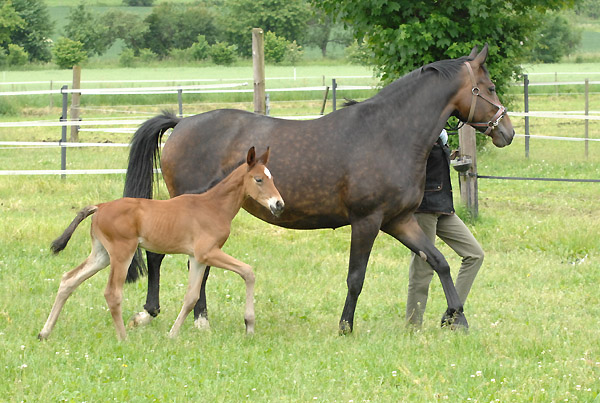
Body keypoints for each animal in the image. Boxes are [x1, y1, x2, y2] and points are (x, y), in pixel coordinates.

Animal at [39, 147, 284, 342]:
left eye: (272, 177)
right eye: (259, 179)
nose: (279, 204)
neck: (213, 206)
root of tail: (100, 206)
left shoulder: (197, 258)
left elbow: (191, 297)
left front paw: (172, 334)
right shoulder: (208, 253)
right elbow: (248, 272)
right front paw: (249, 325)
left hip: (102, 255)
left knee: (68, 280)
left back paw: (44, 333)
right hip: (121, 253)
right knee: (112, 293)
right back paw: (123, 338)